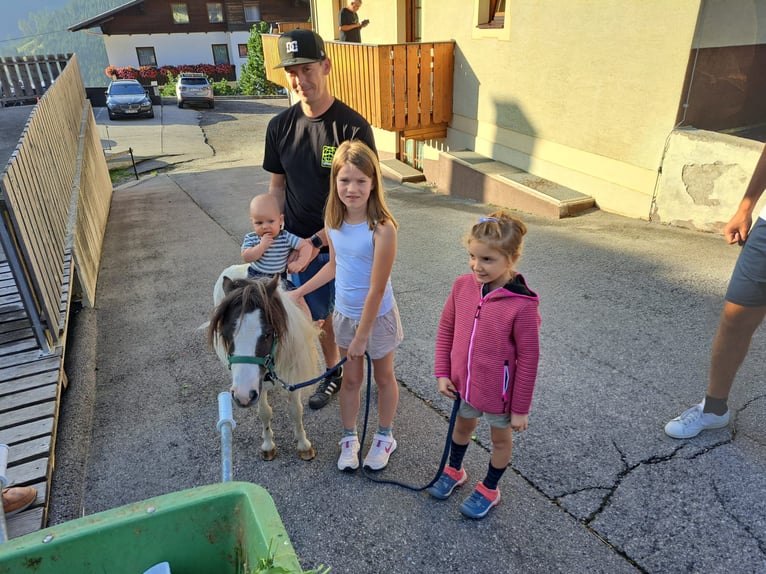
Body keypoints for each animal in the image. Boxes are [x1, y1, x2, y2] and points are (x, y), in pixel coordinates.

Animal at [208, 266, 322, 464]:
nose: (242, 396)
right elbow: (264, 413)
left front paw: (303, 445)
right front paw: (268, 445)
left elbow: (295, 411)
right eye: (225, 334)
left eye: (268, 333)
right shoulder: (256, 386)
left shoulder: (293, 379)